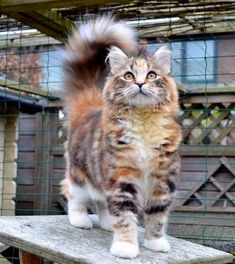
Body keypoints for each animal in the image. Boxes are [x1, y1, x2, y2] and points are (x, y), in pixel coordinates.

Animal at [61, 15, 182, 258]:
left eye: (152, 75)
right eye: (128, 75)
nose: (140, 83)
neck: (144, 123)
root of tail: (90, 105)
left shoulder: (163, 182)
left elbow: (156, 218)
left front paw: (155, 242)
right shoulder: (121, 179)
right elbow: (125, 217)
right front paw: (126, 246)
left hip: (100, 178)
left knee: (101, 202)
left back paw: (107, 224)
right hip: (79, 174)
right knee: (73, 193)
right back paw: (80, 220)